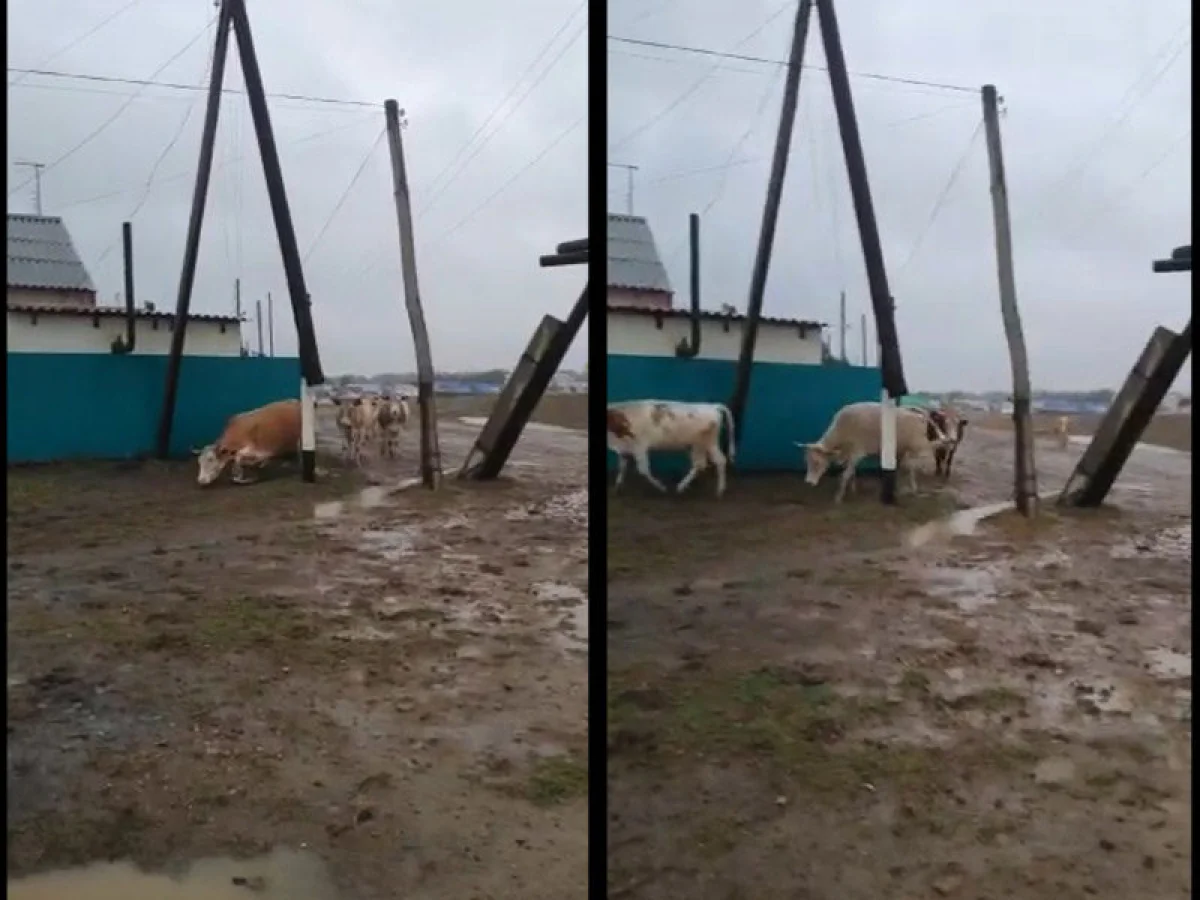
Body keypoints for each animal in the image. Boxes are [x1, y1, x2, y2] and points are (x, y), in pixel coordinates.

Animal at [604, 400, 734, 501]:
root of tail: (712, 406)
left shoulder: (640, 447)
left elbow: (643, 470)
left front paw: (661, 487)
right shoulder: (625, 449)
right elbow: (622, 467)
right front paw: (617, 487)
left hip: (709, 443)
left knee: (719, 461)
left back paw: (719, 490)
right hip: (697, 445)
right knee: (700, 464)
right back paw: (682, 486)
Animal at [796, 403, 955, 504]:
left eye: (817, 462)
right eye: (806, 461)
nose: (808, 482)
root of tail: (916, 414)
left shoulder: (857, 453)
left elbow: (846, 475)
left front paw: (838, 497)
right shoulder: (851, 454)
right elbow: (851, 473)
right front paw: (853, 490)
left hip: (919, 444)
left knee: (932, 448)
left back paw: (949, 442)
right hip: (905, 447)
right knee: (910, 465)